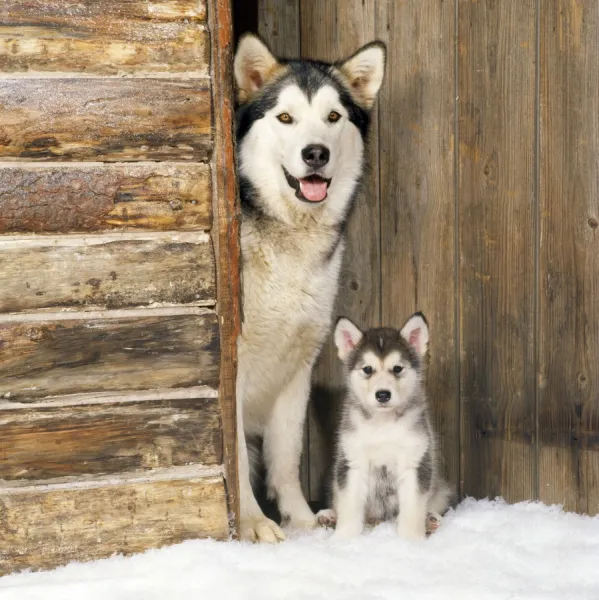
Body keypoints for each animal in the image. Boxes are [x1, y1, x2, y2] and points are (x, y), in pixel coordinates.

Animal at [232, 37, 386, 544]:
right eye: (285, 118)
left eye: (333, 116)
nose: (315, 153)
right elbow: (233, 457)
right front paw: (252, 524)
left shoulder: (297, 369)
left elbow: (286, 458)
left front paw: (300, 520)